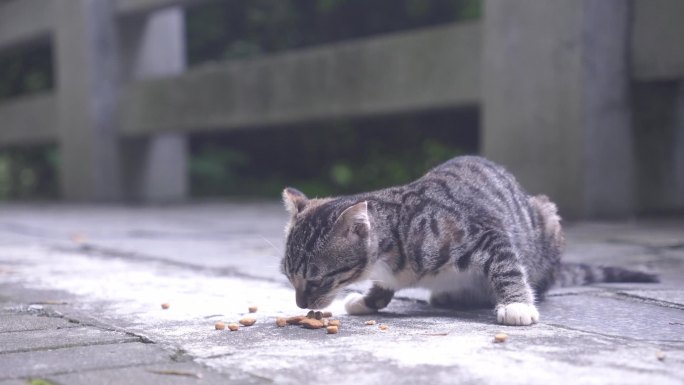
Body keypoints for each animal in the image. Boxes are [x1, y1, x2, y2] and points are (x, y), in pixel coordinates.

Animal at [280, 155, 656, 324]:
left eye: (316, 278)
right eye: (289, 276)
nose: (300, 304)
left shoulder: (485, 234)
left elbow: (506, 268)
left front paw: (517, 305)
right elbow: (386, 285)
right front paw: (371, 299)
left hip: (547, 218)